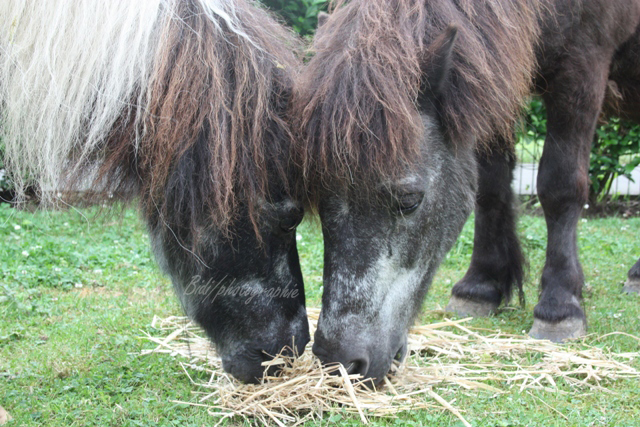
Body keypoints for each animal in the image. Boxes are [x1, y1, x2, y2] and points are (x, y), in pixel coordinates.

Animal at [294, 0, 640, 386]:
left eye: (409, 201)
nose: (338, 361)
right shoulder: (493, 80)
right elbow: (490, 187)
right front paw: (480, 286)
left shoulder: (583, 67)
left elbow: (560, 186)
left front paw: (559, 306)